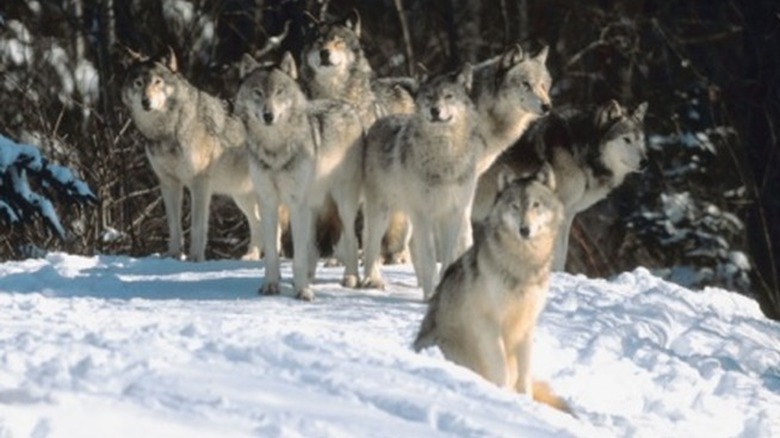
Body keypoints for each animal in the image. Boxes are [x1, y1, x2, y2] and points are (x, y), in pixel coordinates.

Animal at [121, 49, 262, 262]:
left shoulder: (199, 184)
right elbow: (174, 226)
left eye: (157, 82)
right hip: (242, 196)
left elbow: (197, 226)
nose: (146, 102)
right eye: (138, 83)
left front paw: (195, 258)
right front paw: (173, 256)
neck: (168, 130)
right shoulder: (169, 183)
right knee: (260, 223)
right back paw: (253, 256)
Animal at [235, 52, 363, 301]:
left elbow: (299, 256)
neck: (275, 150)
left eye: (279, 92)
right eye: (258, 92)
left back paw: (351, 278)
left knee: (350, 238)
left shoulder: (296, 203)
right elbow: (273, 253)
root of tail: (348, 107)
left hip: (342, 203)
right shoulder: (268, 203)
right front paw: (271, 286)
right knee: (312, 246)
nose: (268, 115)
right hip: (313, 206)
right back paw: (309, 277)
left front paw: (303, 290)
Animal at [361, 65, 480, 300]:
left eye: (448, 96)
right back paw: (372, 281)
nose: (435, 110)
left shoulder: (452, 214)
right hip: (383, 213)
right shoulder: (424, 215)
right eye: (429, 97)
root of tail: (379, 122)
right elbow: (429, 259)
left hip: (407, 218)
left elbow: (447, 258)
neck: (444, 158)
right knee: (371, 245)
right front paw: (430, 294)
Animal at [413, 166, 570, 413]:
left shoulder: (527, 325)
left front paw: (524, 399)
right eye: (515, 206)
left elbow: (524, 376)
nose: (524, 230)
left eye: (536, 205)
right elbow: (499, 367)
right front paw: (503, 395)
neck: (522, 266)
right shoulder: (488, 322)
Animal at [472, 100, 649, 271]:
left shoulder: (568, 215)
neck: (577, 151)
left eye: (641, 140)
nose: (645, 162)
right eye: (626, 139)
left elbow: (561, 255)